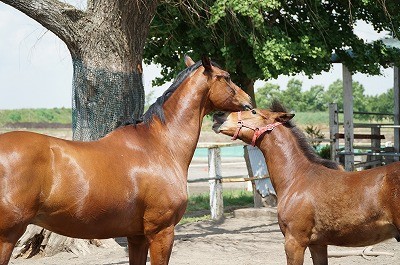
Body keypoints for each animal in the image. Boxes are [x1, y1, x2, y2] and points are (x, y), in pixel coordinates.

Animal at [0, 54, 252, 262]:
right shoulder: (161, 232)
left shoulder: (137, 236)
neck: (160, 145)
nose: (249, 100)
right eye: (226, 77)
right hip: (8, 236)